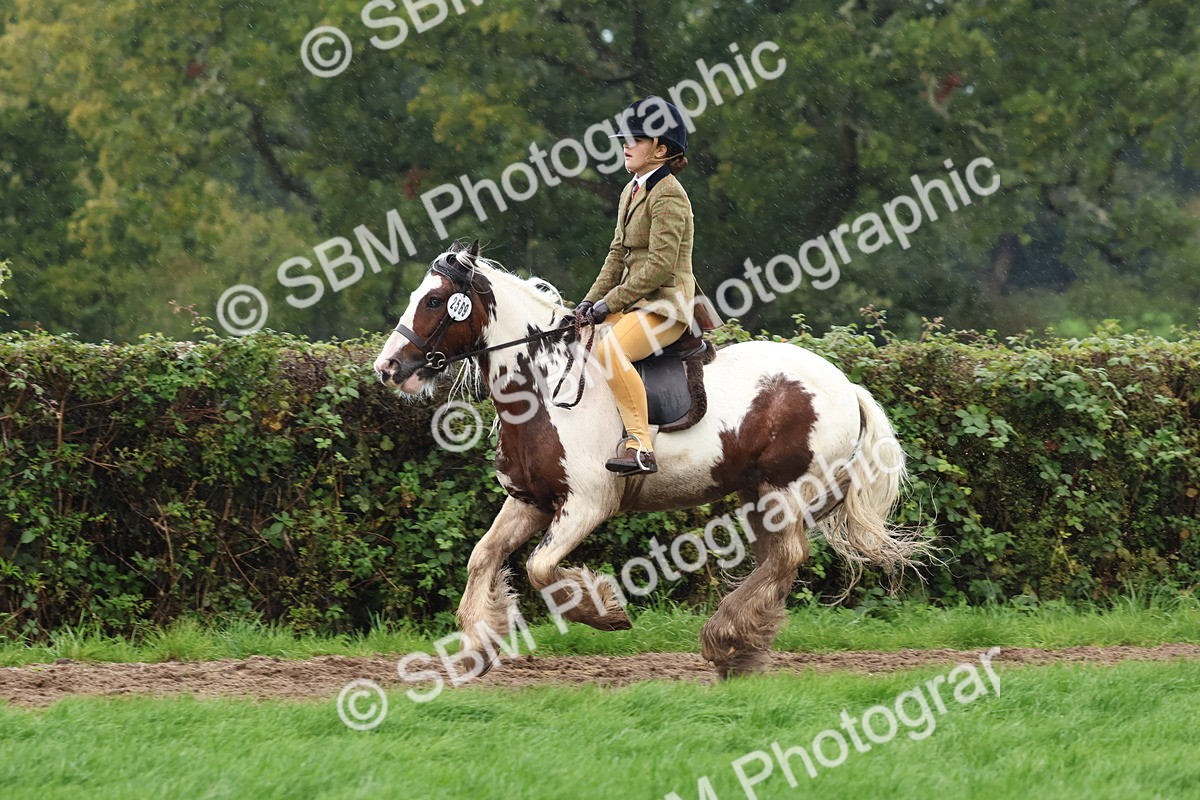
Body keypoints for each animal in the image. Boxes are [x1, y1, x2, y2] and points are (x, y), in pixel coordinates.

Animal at [373, 240, 928, 678]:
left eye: (435, 300)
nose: (388, 368)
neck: (544, 388)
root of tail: (846, 385)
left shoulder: (587, 504)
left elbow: (540, 568)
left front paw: (603, 611)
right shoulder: (530, 501)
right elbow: (483, 556)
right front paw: (477, 644)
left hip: (785, 489)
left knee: (787, 557)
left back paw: (725, 641)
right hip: (758, 495)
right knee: (775, 560)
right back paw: (739, 648)